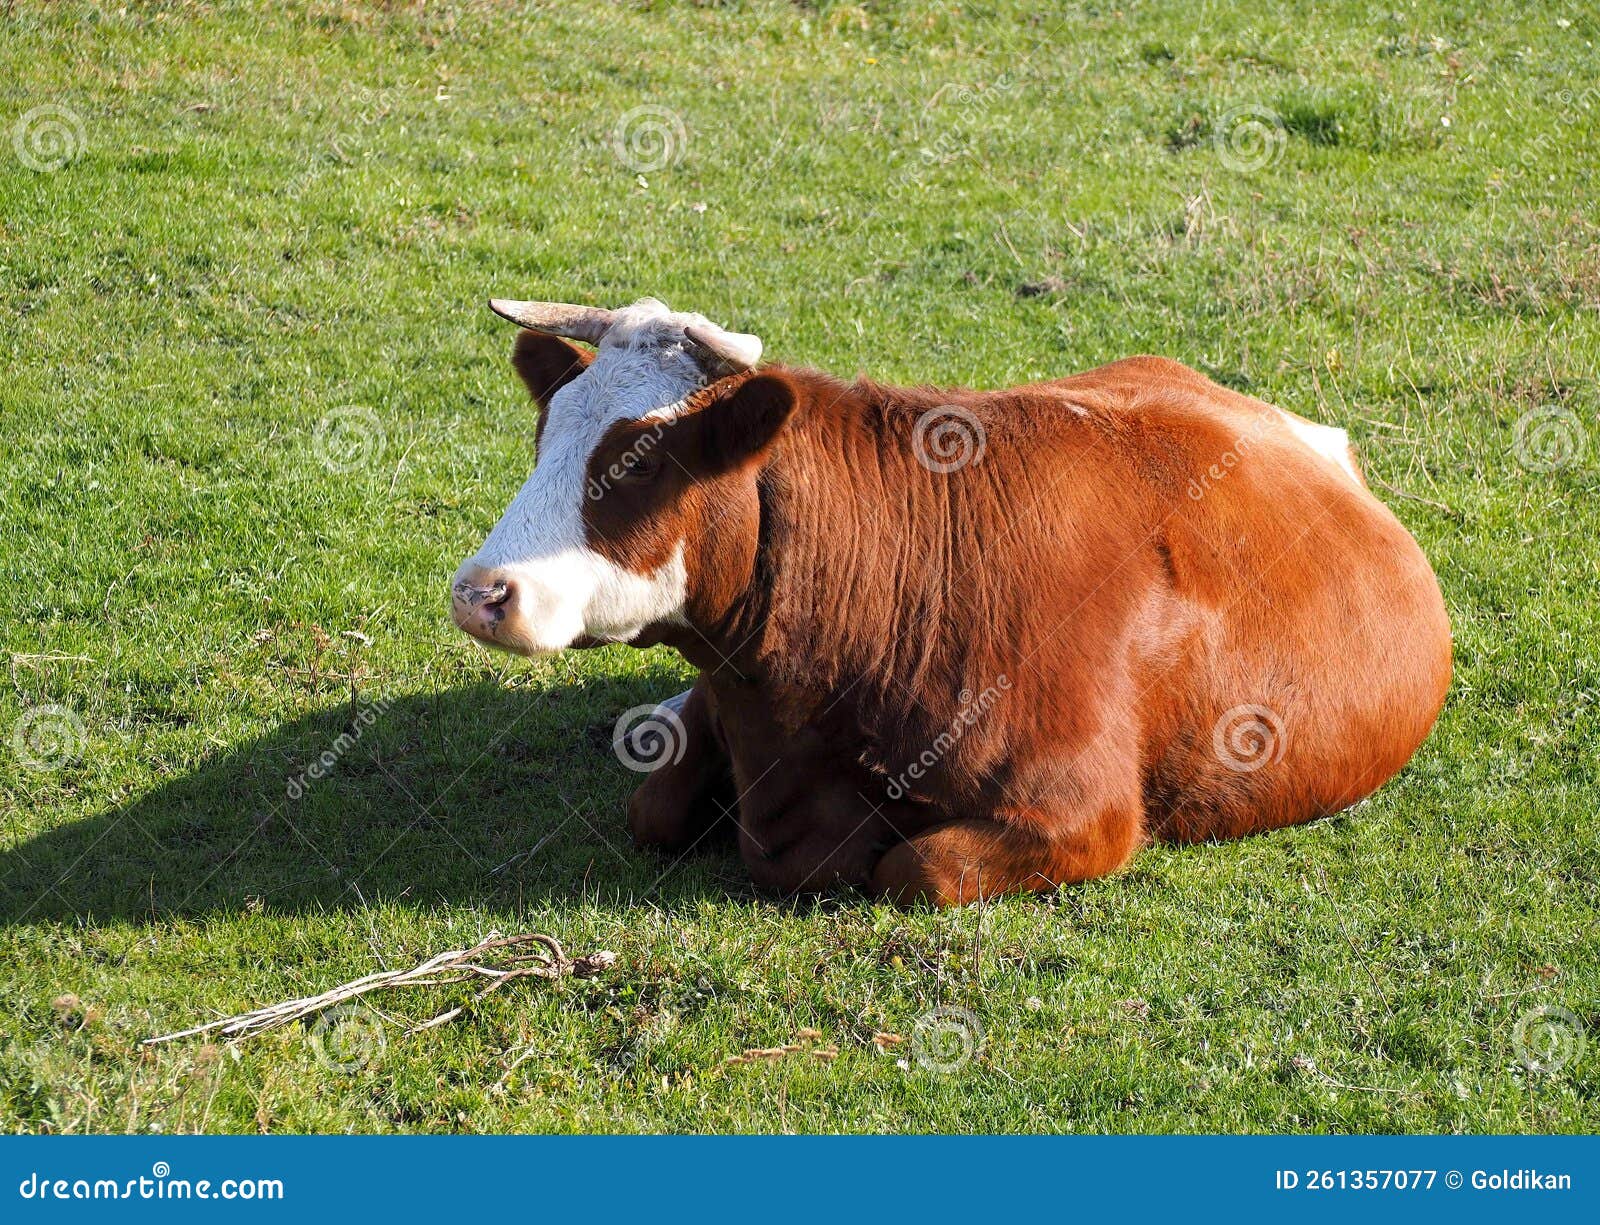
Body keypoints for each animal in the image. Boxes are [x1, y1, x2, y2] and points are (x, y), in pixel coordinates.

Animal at [452, 297, 1451, 907]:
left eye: (641, 461)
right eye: (546, 434)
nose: (480, 592)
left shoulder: (1084, 812)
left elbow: (913, 867)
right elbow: (653, 804)